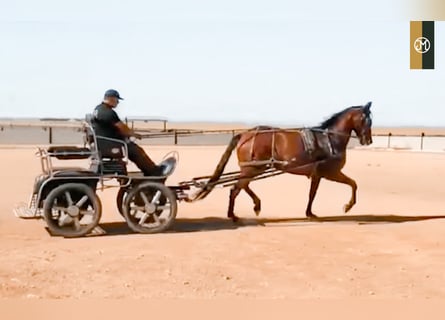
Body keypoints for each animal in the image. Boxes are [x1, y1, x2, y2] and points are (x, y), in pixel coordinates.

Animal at [196, 101, 372, 221]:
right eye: (367, 120)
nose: (368, 140)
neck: (329, 140)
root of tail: (245, 135)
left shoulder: (317, 175)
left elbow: (312, 194)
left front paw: (309, 213)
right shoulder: (331, 172)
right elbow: (353, 184)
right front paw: (348, 206)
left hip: (254, 168)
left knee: (243, 186)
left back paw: (255, 205)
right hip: (252, 168)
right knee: (235, 188)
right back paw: (233, 214)